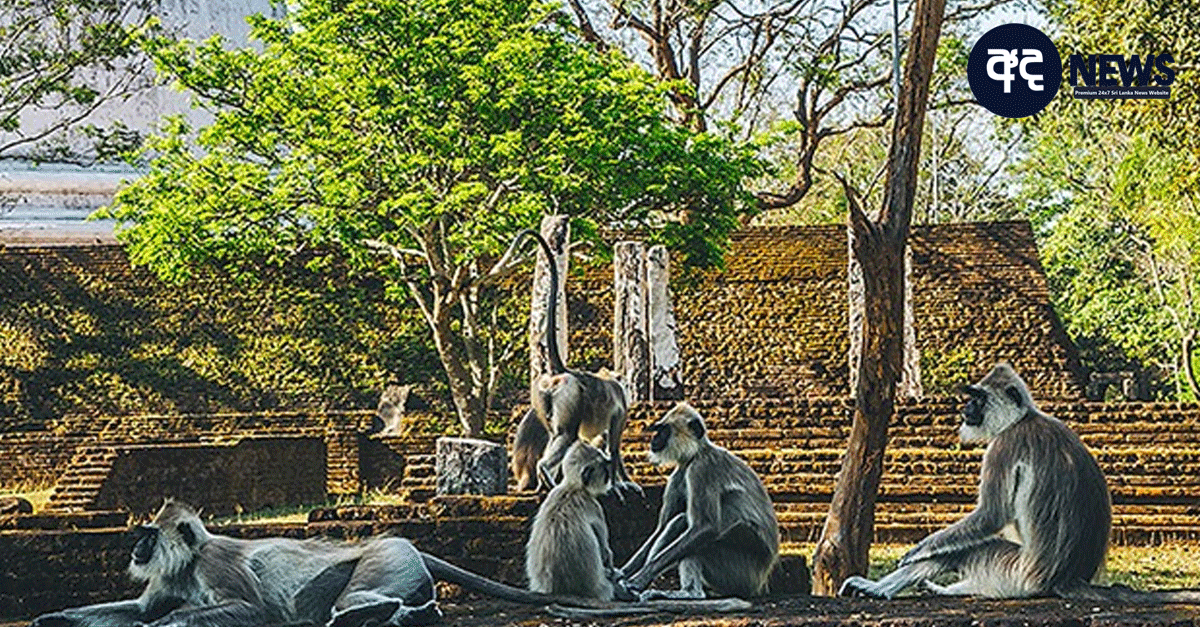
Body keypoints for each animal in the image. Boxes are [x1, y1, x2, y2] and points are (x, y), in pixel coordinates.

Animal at [504, 228, 639, 498]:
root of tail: (560, 371)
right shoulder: (620, 410)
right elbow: (614, 449)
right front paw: (621, 483)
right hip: (570, 394)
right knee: (567, 434)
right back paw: (547, 474)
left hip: (541, 394)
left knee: (557, 434)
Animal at [526, 440, 616, 600]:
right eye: (604, 467)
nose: (609, 475)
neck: (573, 487)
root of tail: (557, 588)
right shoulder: (594, 506)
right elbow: (605, 552)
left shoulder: (553, 492)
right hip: (600, 588)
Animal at [613, 402, 780, 602]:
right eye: (658, 430)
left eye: (664, 431)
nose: (654, 439)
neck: (696, 454)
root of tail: (761, 583)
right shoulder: (678, 475)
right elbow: (660, 529)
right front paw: (620, 573)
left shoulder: (702, 469)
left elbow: (706, 527)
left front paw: (637, 580)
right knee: (677, 523)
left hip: (741, 573)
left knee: (692, 532)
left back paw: (690, 593)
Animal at [839, 362, 1200, 603]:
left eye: (978, 399)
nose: (966, 408)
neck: (1023, 419)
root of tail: (1066, 579)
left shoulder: (1003, 446)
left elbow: (991, 515)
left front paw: (916, 551)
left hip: (1017, 573)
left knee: (973, 546)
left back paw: (882, 588)